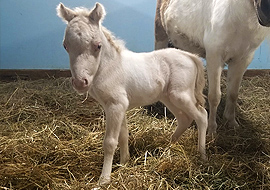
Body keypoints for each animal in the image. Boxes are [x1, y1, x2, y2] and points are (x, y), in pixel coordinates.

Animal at [58, 2, 208, 186]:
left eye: (98, 45)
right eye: (65, 46)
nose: (80, 82)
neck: (109, 67)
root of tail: (190, 56)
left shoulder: (116, 105)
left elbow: (110, 142)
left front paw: (104, 179)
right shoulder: (119, 106)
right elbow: (123, 135)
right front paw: (124, 162)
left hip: (181, 95)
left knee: (201, 116)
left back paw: (202, 155)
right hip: (168, 97)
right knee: (184, 118)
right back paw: (169, 145)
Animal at [155, 0, 270, 134]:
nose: (266, 14)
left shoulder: (242, 60)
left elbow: (233, 94)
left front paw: (231, 122)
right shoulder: (214, 58)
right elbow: (214, 96)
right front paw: (211, 129)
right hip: (160, 35)